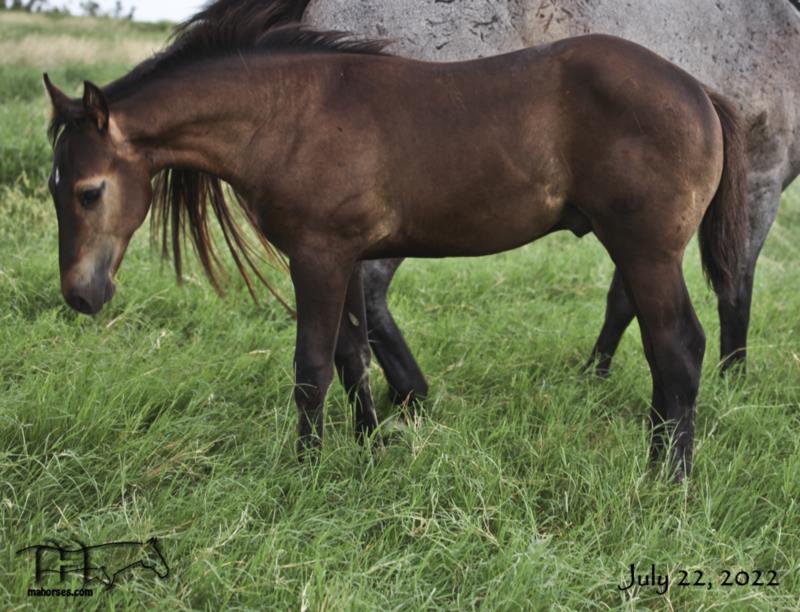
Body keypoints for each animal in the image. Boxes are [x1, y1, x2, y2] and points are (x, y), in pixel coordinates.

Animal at [43, 0, 744, 480]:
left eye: (89, 191)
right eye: (55, 188)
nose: (80, 296)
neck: (290, 113)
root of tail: (698, 89)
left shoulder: (318, 257)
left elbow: (311, 368)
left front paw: (306, 468)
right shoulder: (347, 256)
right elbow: (354, 356)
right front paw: (371, 444)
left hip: (648, 252)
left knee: (678, 349)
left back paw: (666, 477)